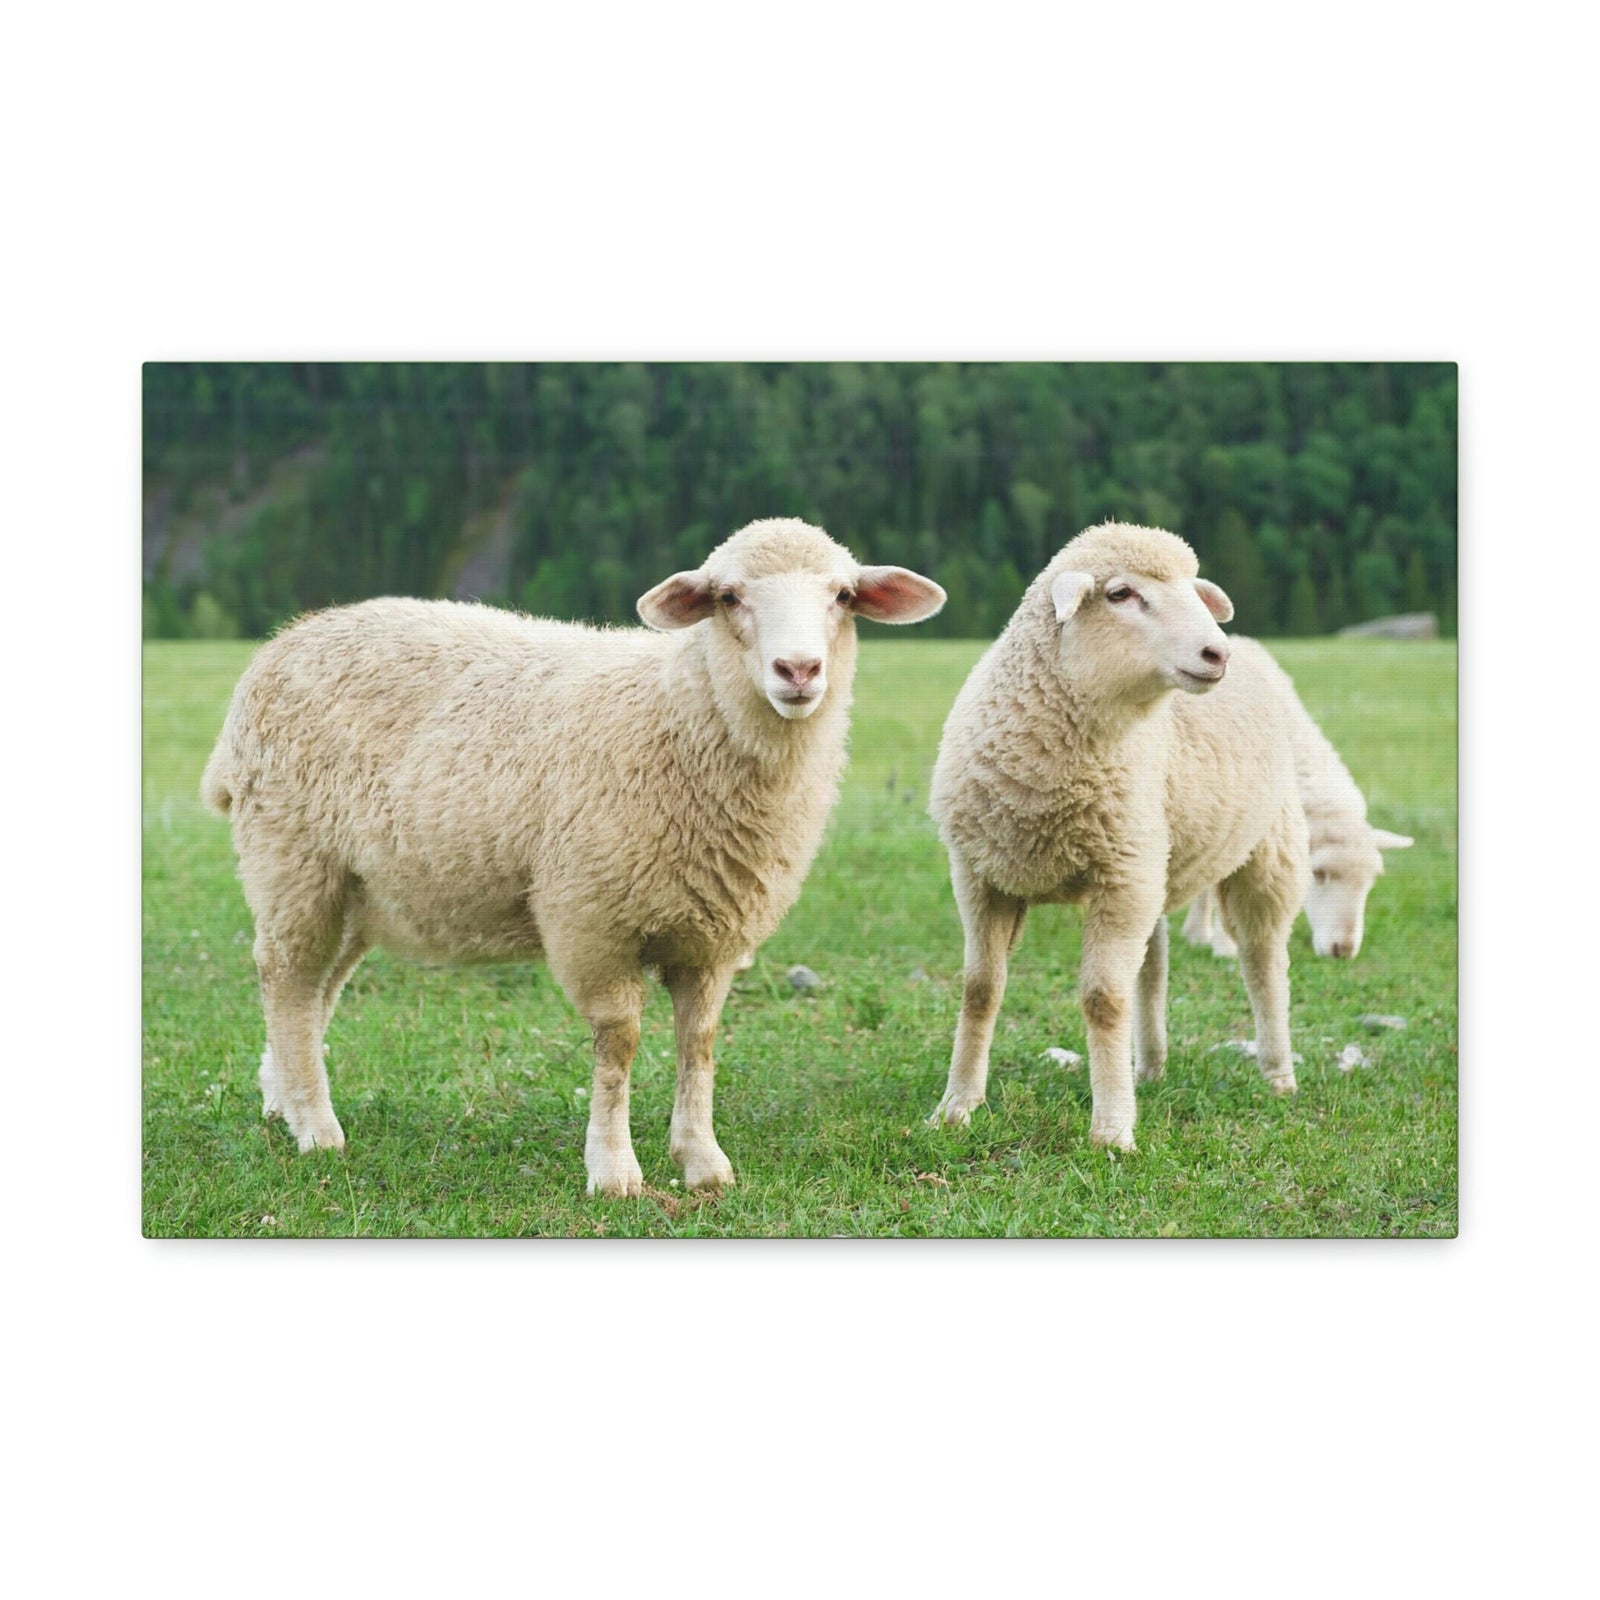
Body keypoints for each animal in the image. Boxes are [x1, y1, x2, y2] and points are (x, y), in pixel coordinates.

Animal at [201, 518, 945, 1196]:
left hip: (358, 887)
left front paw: (702, 1161)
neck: (682, 716)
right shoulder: (593, 921)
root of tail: (284, 642)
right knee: (287, 979)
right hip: (291, 858)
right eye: (729, 596)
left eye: (844, 595)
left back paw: (284, 1098)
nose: (798, 671)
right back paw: (315, 1128)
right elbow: (619, 1044)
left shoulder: (713, 936)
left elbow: (699, 1043)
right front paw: (614, 1171)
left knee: (317, 990)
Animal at [926, 521, 1309, 1152]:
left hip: (1263, 852)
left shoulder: (1119, 878)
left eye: (1194, 590)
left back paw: (1278, 1073)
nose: (1216, 653)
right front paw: (957, 1106)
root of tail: (1255, 649)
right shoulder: (981, 876)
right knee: (1152, 968)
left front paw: (1111, 1130)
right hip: (1154, 860)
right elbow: (979, 989)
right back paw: (1148, 1067)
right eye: (1120, 594)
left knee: (1263, 961)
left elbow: (1103, 1000)